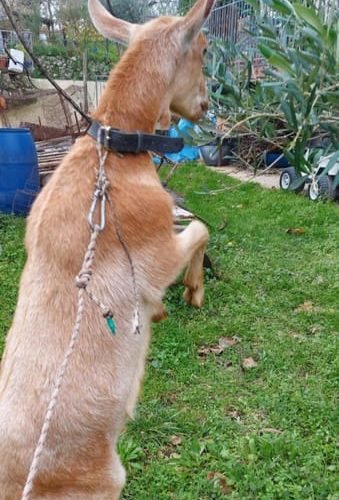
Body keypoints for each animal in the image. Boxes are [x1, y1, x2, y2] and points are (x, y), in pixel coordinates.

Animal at [0, 0, 214, 496]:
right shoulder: (158, 252)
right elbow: (200, 228)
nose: (207, 104)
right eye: (203, 50)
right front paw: (191, 292)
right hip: (105, 481)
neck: (114, 154)